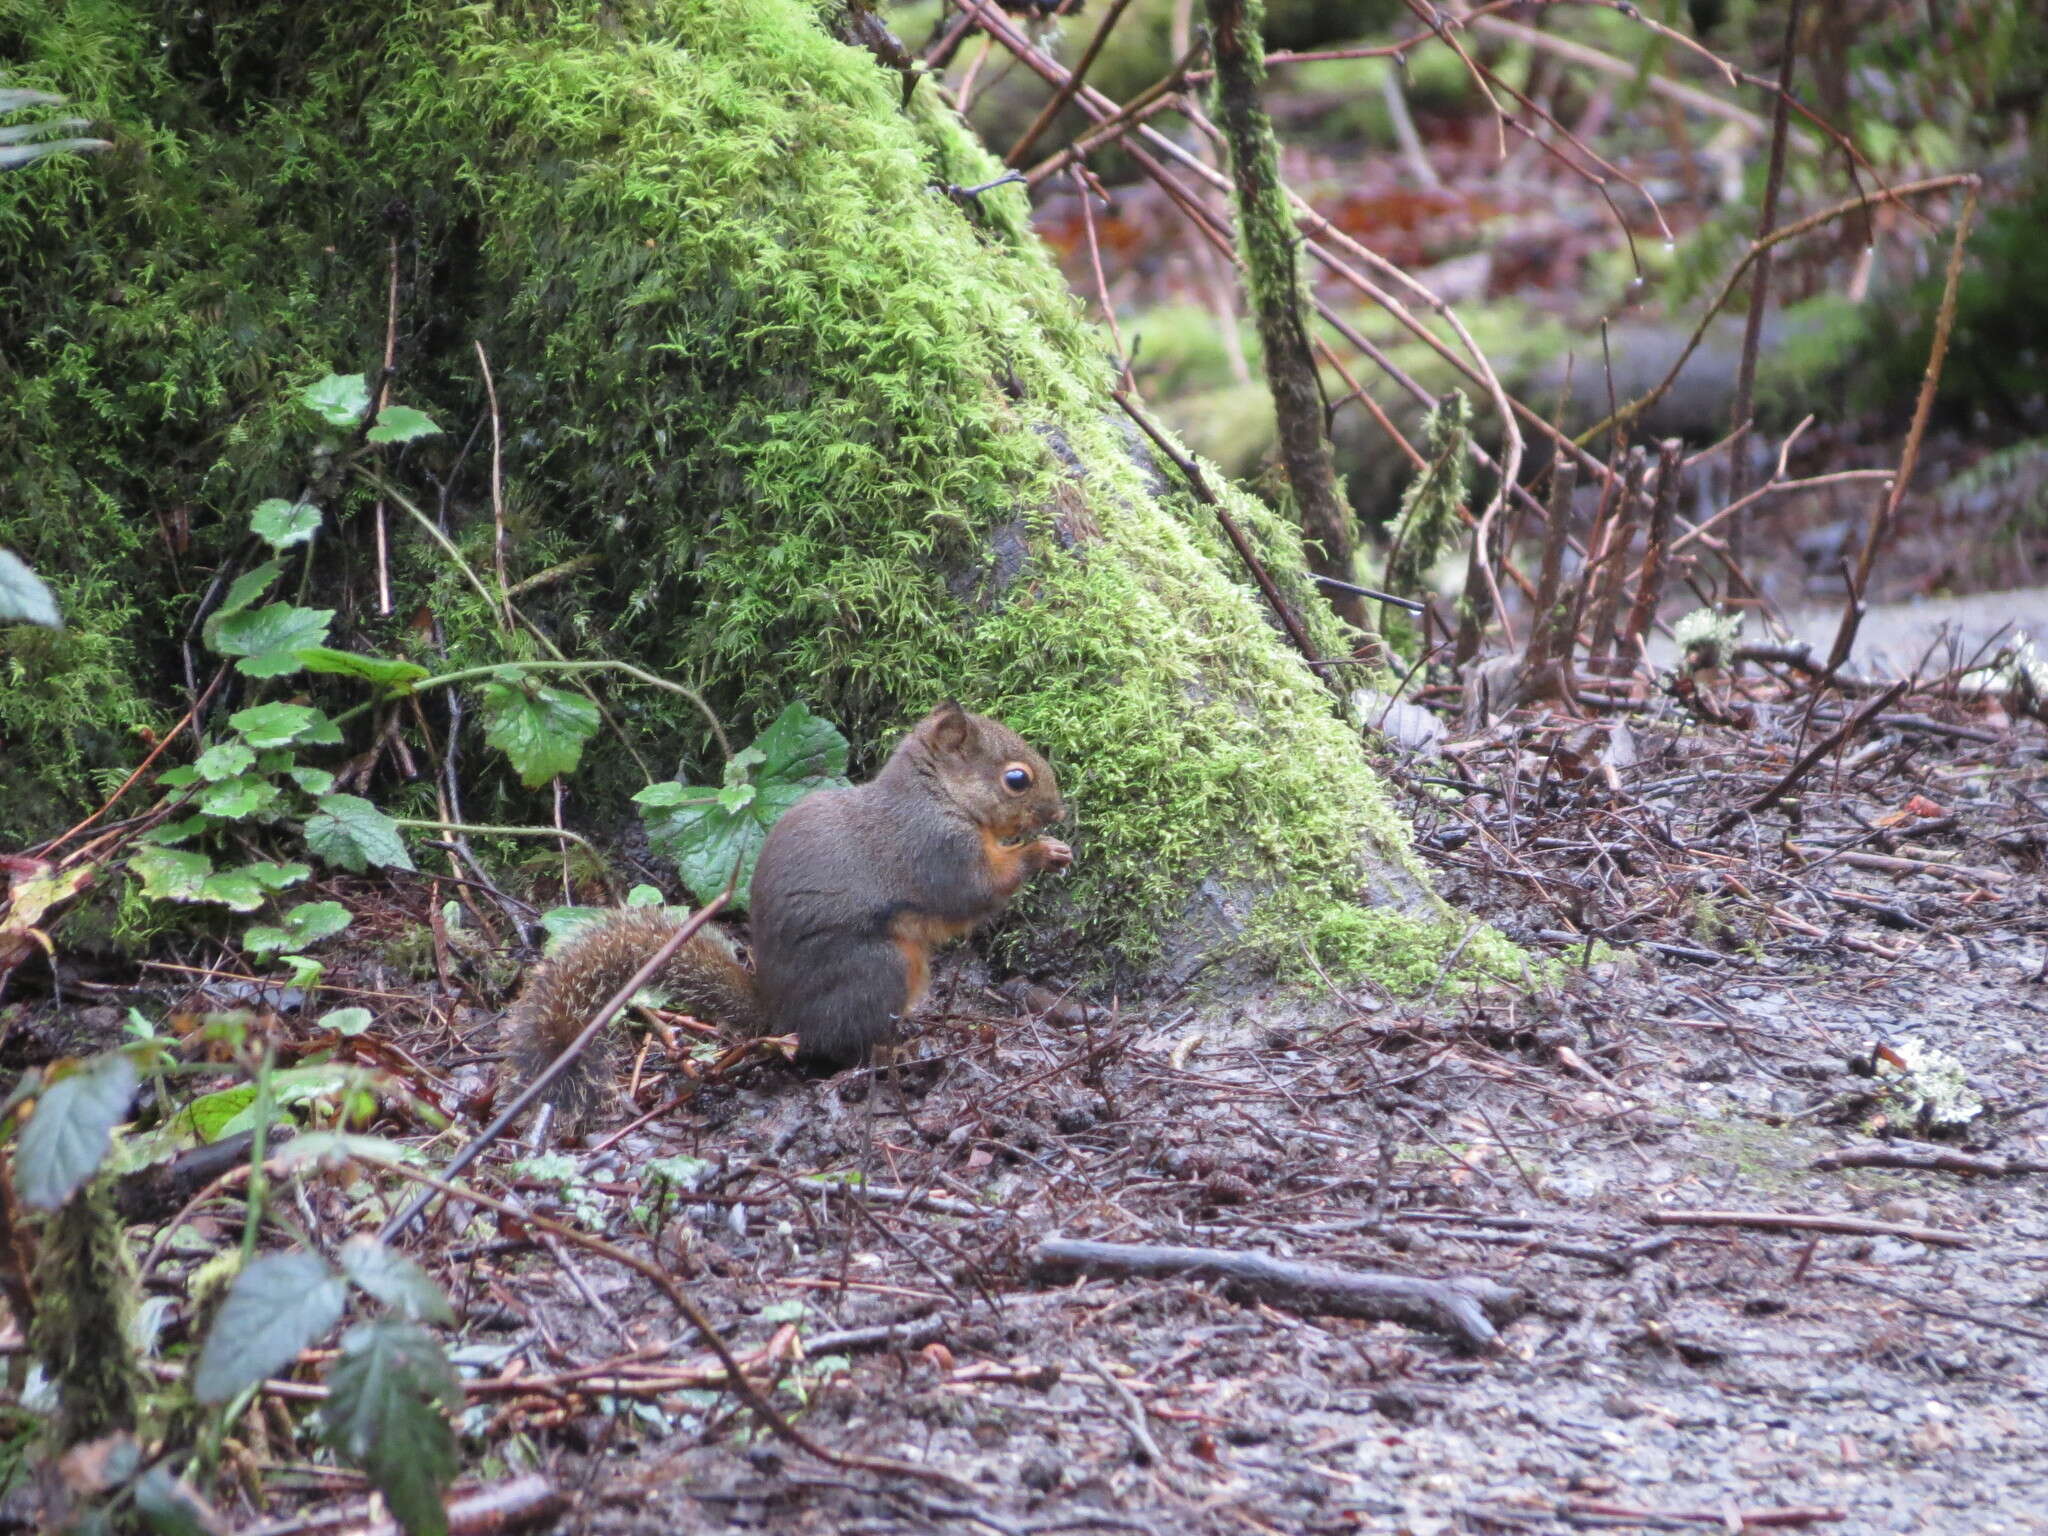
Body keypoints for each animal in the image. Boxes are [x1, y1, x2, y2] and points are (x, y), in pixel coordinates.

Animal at [503, 704, 1073, 1122]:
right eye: (1016, 779)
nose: (1059, 810)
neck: (937, 795)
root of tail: (780, 1015)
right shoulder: (936, 847)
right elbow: (973, 893)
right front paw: (1041, 852)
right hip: (878, 968)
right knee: (843, 1046)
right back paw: (894, 1054)